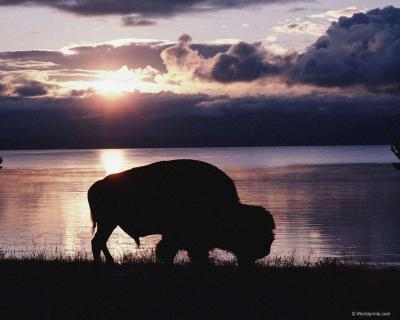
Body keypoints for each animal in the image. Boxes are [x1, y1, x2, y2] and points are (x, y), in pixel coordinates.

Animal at [87, 159, 276, 266]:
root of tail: (97, 184)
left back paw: (110, 262)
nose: (265, 251)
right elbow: (170, 251)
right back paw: (104, 264)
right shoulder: (181, 238)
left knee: (99, 241)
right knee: (97, 242)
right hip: (108, 222)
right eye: (255, 231)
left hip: (109, 223)